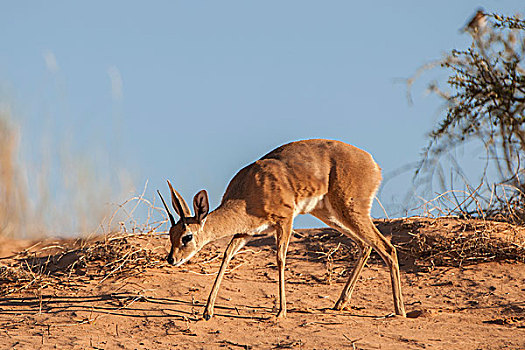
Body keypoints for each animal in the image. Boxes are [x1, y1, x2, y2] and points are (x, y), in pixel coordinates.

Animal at [158, 138, 408, 318]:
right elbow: (227, 255)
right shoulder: (247, 232)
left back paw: (399, 311)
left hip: (351, 211)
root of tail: (373, 164)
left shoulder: (284, 220)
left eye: (187, 237)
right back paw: (339, 303)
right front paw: (207, 311)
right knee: (365, 246)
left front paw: (281, 311)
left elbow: (280, 258)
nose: (171, 259)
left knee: (387, 248)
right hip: (329, 214)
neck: (248, 193)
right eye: (171, 234)